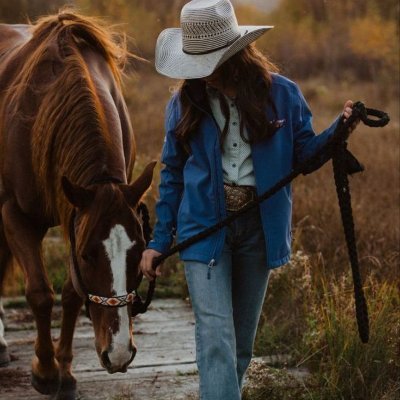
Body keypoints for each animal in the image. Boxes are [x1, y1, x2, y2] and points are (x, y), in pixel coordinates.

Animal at [0, 10, 155, 398]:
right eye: (87, 255)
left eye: (139, 251)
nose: (119, 353)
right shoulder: (15, 215)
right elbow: (40, 294)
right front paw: (44, 371)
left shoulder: (75, 216)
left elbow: (71, 294)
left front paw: (66, 372)